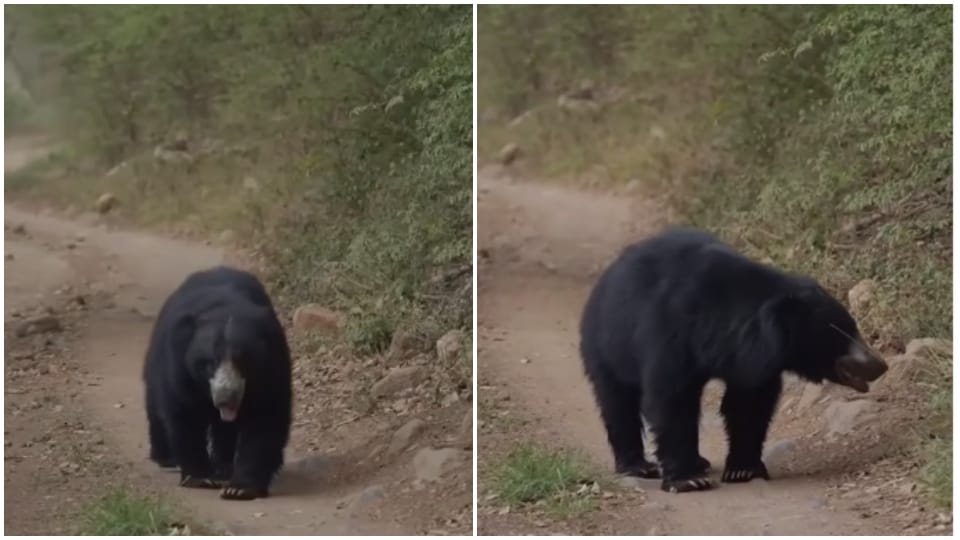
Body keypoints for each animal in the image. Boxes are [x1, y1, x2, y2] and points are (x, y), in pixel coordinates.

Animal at [143, 265, 292, 500]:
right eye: (210, 362)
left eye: (244, 360)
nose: (225, 398)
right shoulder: (180, 368)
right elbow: (185, 414)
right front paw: (200, 478)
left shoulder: (272, 367)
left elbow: (266, 417)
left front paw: (239, 488)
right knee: (155, 407)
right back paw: (166, 458)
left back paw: (224, 467)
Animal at [579, 227, 888, 493]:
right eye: (840, 334)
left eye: (852, 328)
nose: (880, 364)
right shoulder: (669, 334)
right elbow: (671, 399)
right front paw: (688, 480)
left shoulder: (751, 361)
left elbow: (749, 404)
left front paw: (743, 469)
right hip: (606, 345)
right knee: (617, 403)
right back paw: (638, 466)